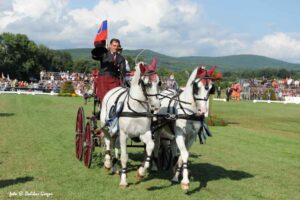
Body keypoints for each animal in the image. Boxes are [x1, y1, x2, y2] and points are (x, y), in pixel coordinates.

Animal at [99, 56, 161, 188]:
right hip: (105, 126)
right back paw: (108, 163)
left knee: (115, 144)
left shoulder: (144, 133)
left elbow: (150, 146)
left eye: (159, 82)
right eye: (147, 83)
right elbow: (124, 157)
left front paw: (141, 172)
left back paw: (114, 166)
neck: (135, 109)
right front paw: (123, 180)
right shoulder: (124, 135)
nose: (156, 105)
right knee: (108, 141)